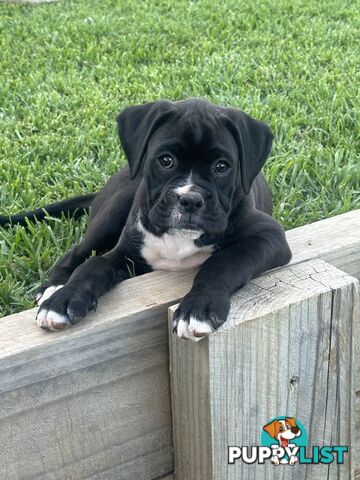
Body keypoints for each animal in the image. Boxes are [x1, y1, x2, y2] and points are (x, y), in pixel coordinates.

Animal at [0, 99, 292, 342]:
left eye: (222, 166)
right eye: (166, 160)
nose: (189, 200)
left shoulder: (270, 236)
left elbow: (222, 263)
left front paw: (198, 308)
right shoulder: (126, 253)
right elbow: (93, 265)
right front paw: (63, 300)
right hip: (115, 209)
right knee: (78, 252)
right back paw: (53, 288)